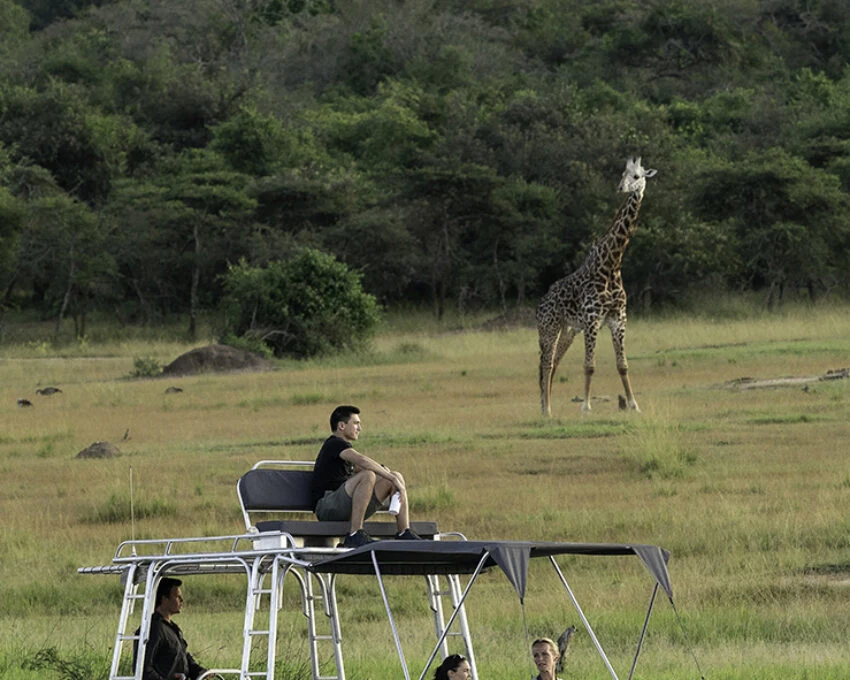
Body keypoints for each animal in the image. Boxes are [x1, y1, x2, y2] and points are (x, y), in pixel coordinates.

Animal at [537, 157, 657, 416]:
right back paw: (546, 409)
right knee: (545, 364)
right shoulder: (592, 320)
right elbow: (589, 365)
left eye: (637, 176)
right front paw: (586, 407)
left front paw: (634, 404)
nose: (622, 188)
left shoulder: (618, 318)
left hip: (568, 330)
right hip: (548, 328)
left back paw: (545, 407)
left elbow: (622, 365)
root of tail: (541, 302)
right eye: (622, 173)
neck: (612, 264)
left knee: (553, 364)